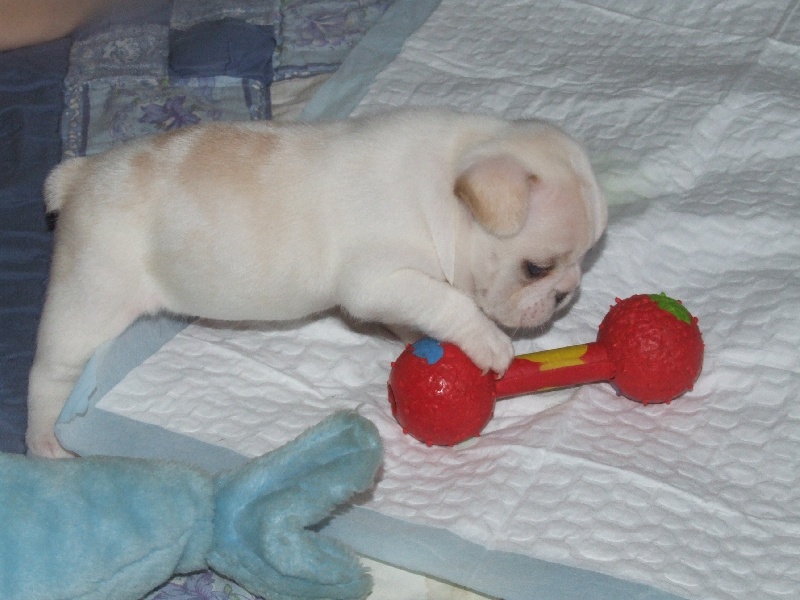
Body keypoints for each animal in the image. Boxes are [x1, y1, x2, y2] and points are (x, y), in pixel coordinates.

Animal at [27, 109, 607, 457]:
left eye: (585, 258)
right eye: (537, 268)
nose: (567, 293)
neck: (447, 187)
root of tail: (79, 177)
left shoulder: (395, 294)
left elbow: (420, 314)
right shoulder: (382, 279)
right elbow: (446, 300)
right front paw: (488, 341)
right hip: (89, 298)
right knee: (47, 374)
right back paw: (45, 440)